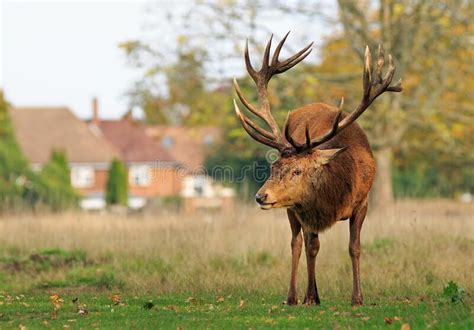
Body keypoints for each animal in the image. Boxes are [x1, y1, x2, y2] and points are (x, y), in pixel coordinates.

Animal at [231, 32, 402, 306]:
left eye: (297, 171)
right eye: (274, 166)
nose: (261, 196)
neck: (335, 197)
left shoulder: (363, 202)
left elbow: (354, 247)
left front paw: (357, 297)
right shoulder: (301, 207)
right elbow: (309, 246)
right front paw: (309, 296)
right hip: (291, 207)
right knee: (298, 243)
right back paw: (296, 296)